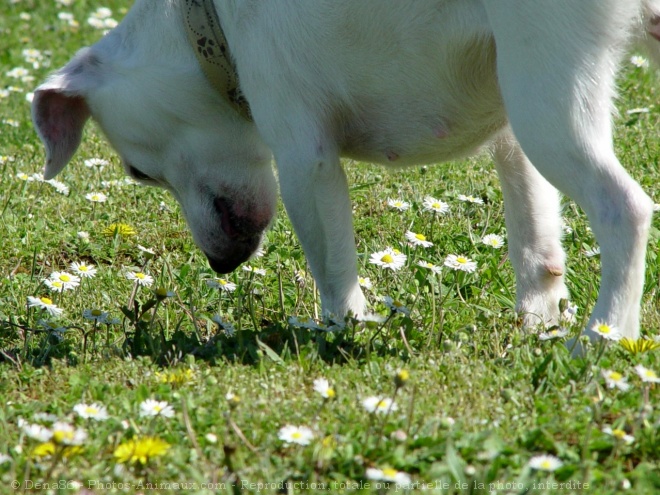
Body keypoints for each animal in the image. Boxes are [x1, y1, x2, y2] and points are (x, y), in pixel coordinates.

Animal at [33, 0, 656, 344]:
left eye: (138, 172)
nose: (220, 265)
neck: (205, 21)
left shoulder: (303, 155)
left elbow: (332, 267)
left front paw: (341, 333)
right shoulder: (511, 141)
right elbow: (535, 244)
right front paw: (537, 321)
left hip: (549, 106)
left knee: (625, 207)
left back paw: (604, 339)